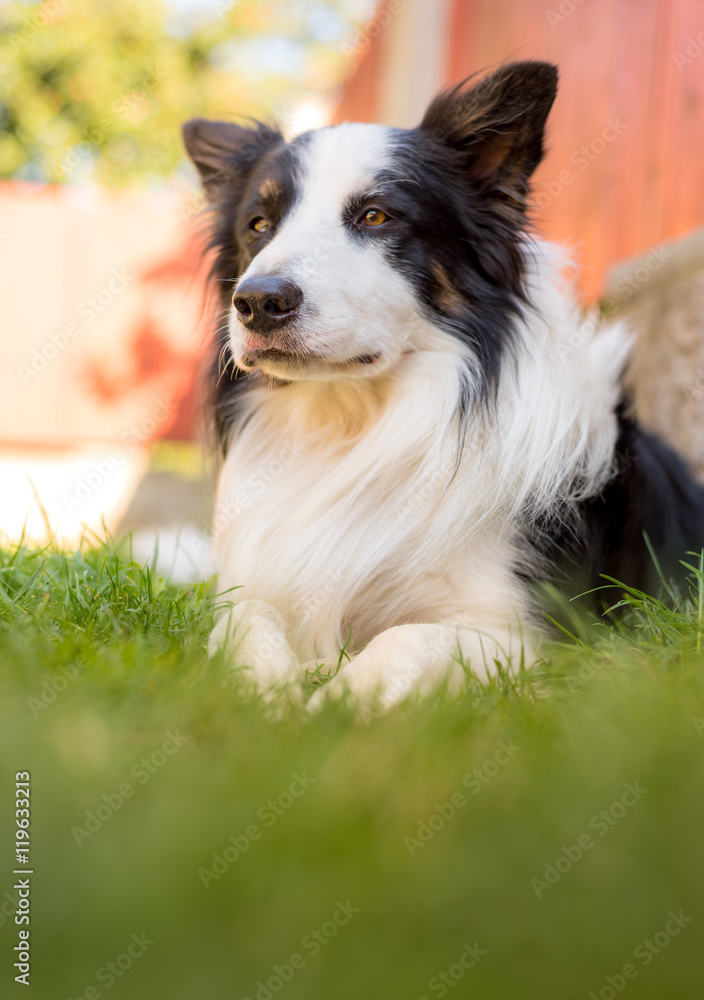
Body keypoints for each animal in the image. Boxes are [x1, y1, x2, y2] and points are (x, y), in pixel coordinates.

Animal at [183, 60, 704, 712]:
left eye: (375, 216)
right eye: (258, 225)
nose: (257, 301)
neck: (352, 425)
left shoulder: (543, 633)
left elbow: (408, 639)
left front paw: (333, 707)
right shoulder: (269, 586)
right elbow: (243, 618)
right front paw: (264, 691)